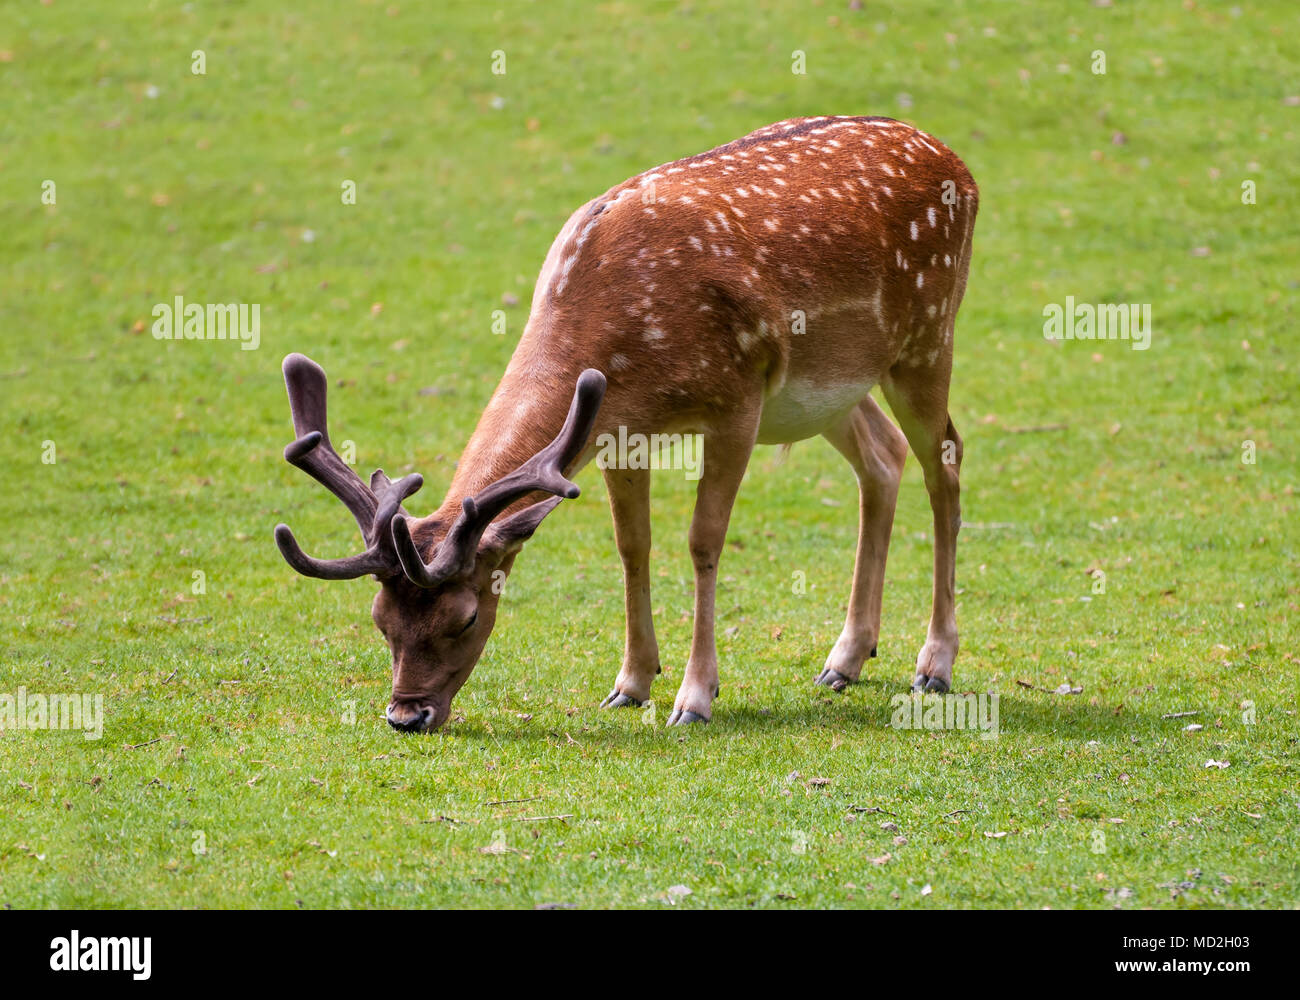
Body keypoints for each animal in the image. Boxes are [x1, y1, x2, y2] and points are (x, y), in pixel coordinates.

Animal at [276, 117, 982, 733]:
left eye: (466, 618)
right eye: (380, 620)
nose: (406, 714)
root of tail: (958, 163)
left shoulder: (738, 400)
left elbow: (702, 541)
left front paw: (695, 697)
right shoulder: (615, 429)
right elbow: (631, 544)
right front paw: (632, 684)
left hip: (927, 336)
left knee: (945, 458)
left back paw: (934, 664)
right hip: (829, 387)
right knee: (882, 457)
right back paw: (845, 660)